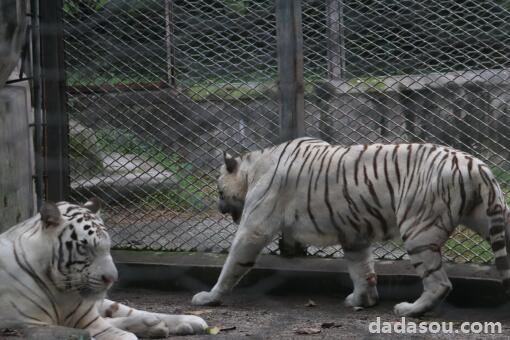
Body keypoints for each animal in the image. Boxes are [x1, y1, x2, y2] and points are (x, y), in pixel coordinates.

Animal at [0, 198, 207, 338]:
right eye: (84, 247)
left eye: (108, 247)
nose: (112, 279)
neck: (62, 291)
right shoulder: (29, 323)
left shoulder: (87, 316)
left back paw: (180, 322)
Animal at [192, 137, 510, 316]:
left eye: (219, 191)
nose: (219, 207)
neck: (254, 167)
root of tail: (478, 166)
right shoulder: (354, 233)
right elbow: (361, 269)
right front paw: (362, 299)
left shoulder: (254, 226)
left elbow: (232, 264)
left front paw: (209, 297)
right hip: (489, 217)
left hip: (418, 230)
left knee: (440, 283)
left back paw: (410, 310)